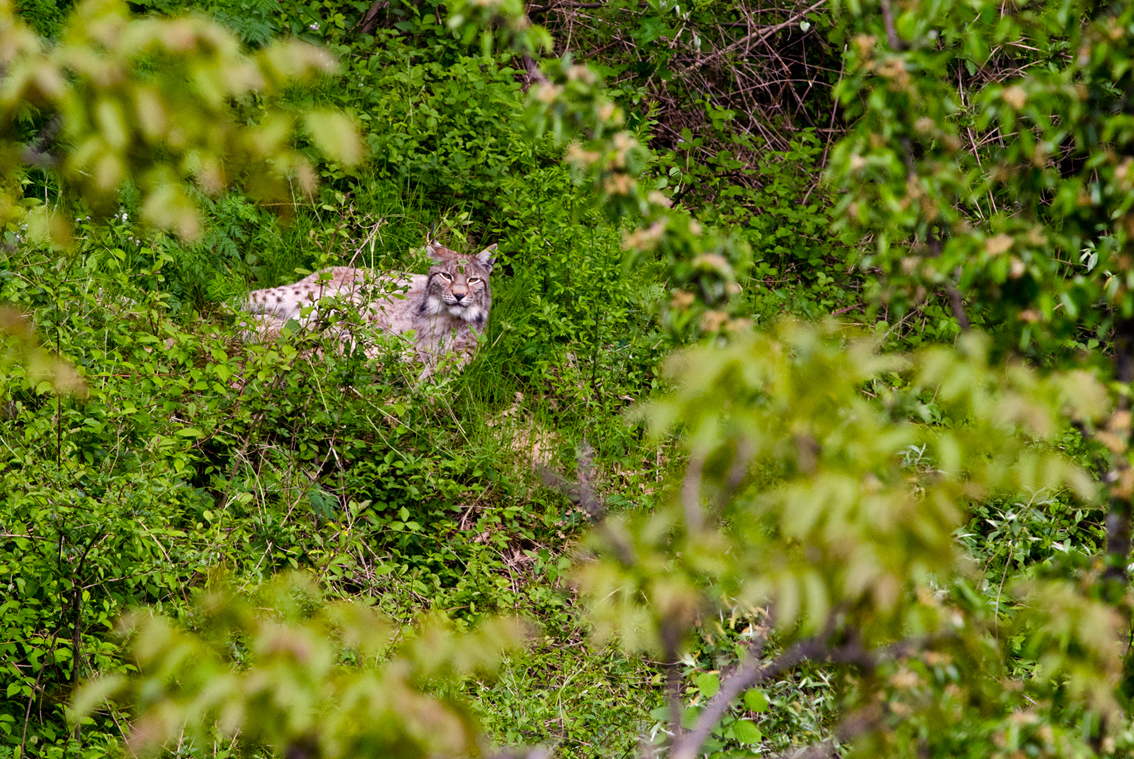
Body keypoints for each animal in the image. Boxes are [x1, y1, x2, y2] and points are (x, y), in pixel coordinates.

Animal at [243, 239, 496, 376]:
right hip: (310, 297)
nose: (459, 296)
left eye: (473, 280)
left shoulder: (460, 360)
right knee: (247, 300)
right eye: (446, 276)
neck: (444, 317)